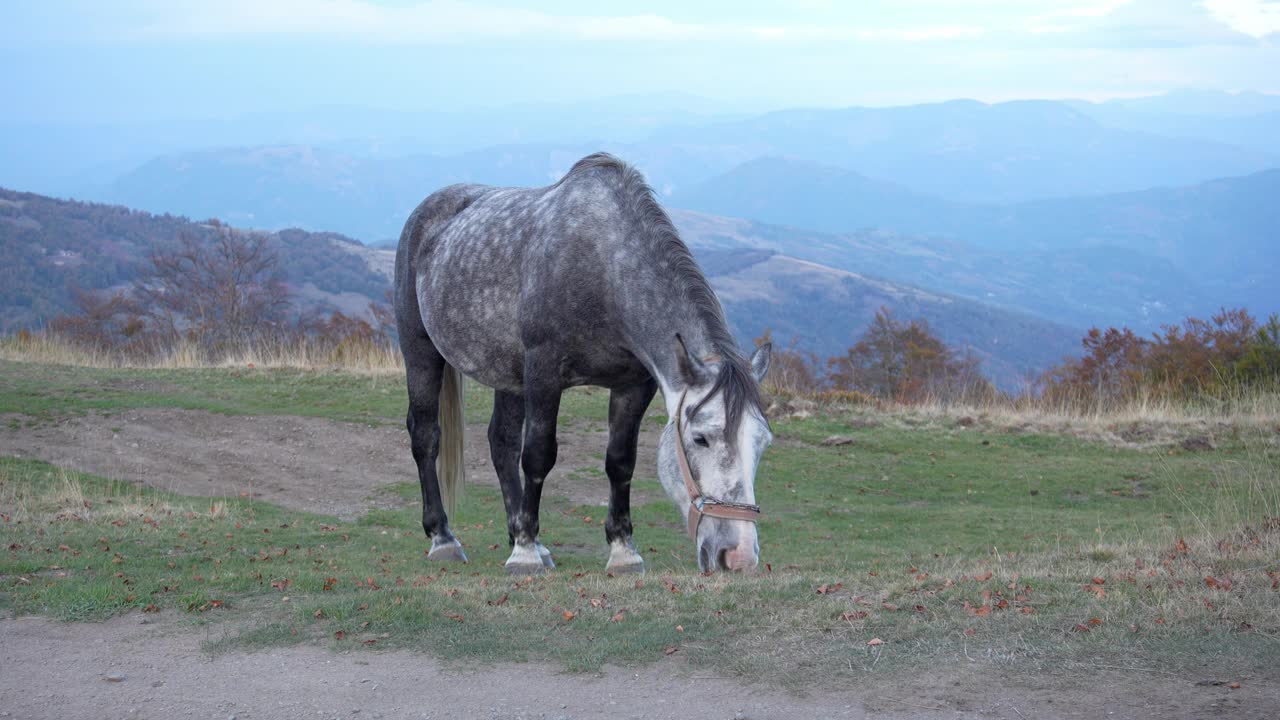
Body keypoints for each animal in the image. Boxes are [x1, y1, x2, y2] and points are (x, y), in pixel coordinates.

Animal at [389, 151, 768, 571]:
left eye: (762, 442)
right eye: (701, 438)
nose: (738, 556)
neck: (601, 267)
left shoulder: (634, 385)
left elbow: (620, 461)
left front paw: (622, 549)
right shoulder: (543, 373)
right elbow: (538, 455)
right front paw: (526, 554)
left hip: (508, 375)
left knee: (501, 442)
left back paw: (519, 533)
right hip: (420, 351)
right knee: (426, 435)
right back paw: (445, 537)